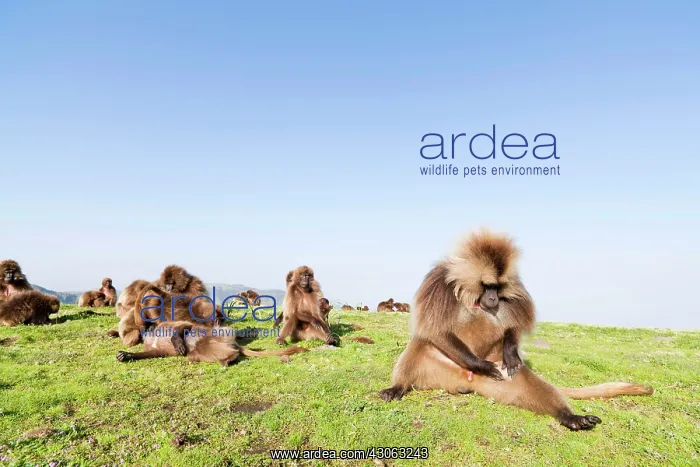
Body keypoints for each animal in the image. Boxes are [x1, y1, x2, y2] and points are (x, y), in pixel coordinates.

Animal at [378, 229, 653, 431]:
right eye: (487, 285)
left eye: (498, 288)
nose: (492, 299)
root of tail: (465, 381)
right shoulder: (437, 282)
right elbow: (435, 331)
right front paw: (483, 365)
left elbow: (513, 326)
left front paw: (511, 353)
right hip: (440, 367)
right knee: (420, 342)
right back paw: (398, 387)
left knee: (529, 382)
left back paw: (571, 417)